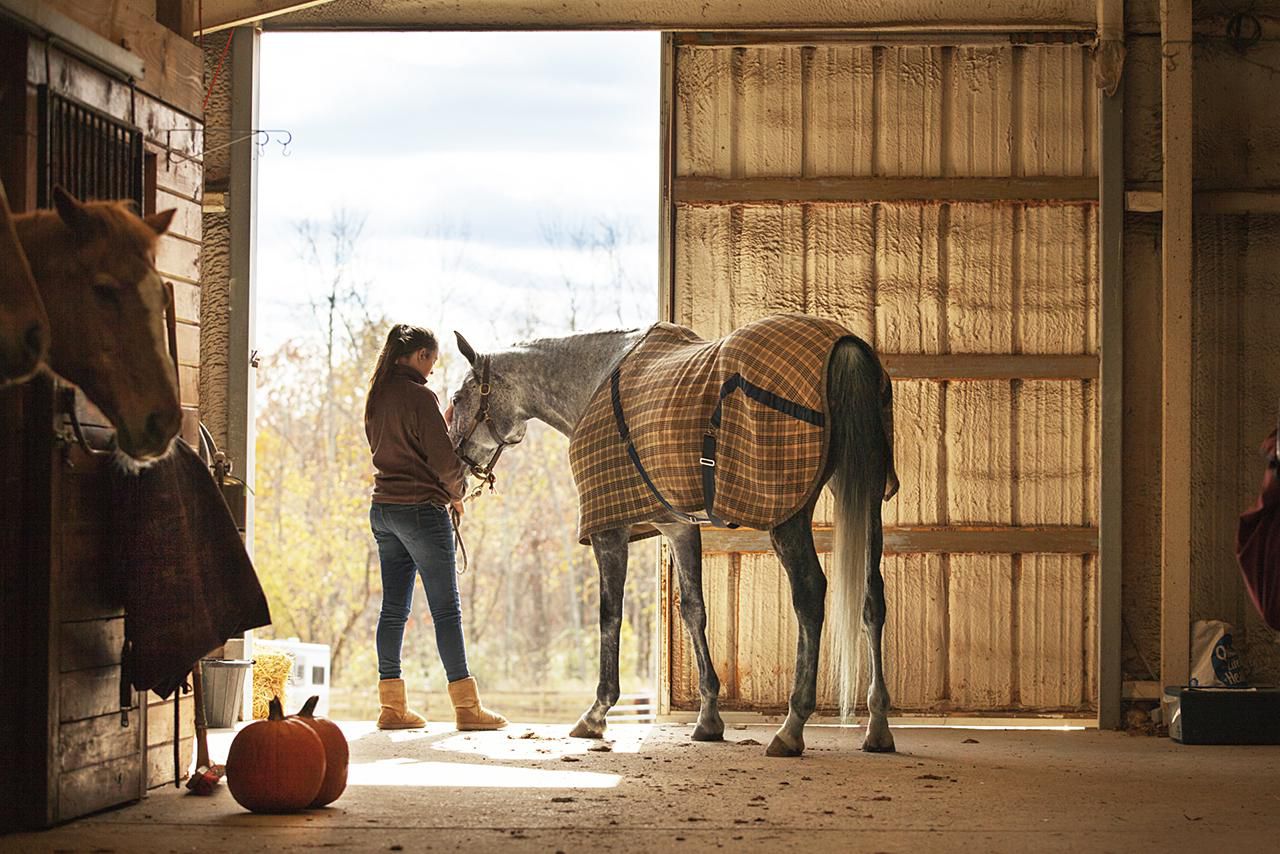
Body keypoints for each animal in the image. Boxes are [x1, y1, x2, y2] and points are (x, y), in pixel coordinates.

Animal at [455, 325, 896, 752]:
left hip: (789, 517)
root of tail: (844, 347)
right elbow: (693, 610)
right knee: (872, 597)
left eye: (459, 397)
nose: (460, 469)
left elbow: (609, 615)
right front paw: (709, 719)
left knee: (809, 595)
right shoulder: (677, 527)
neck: (595, 378)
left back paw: (791, 728)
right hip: (867, 498)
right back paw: (877, 726)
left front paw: (596, 714)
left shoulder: (608, 530)